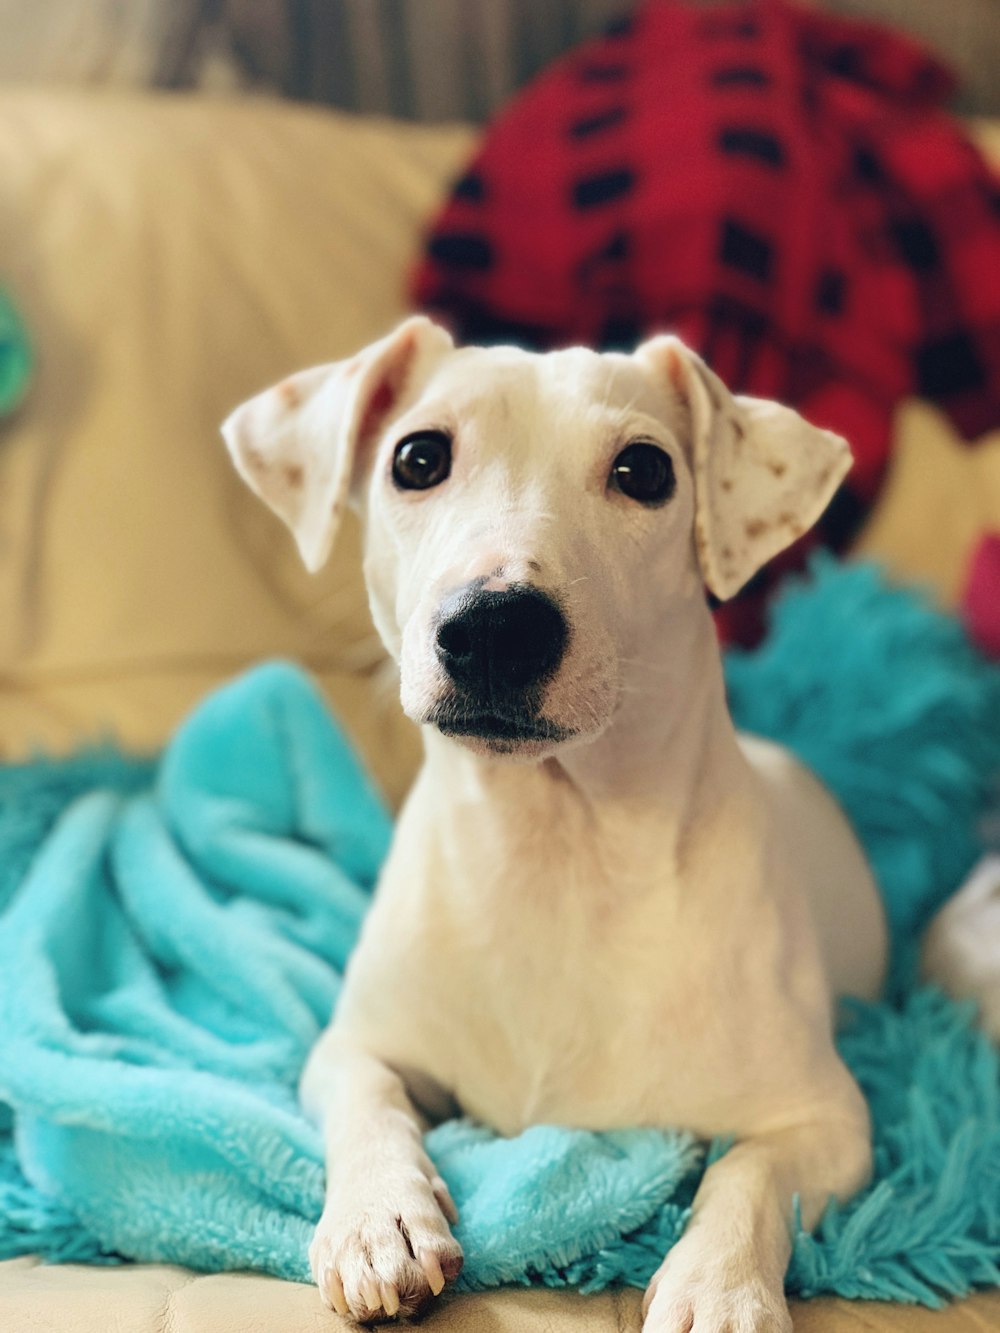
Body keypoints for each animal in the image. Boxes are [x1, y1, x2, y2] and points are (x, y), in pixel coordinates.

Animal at [221, 314, 901, 1333]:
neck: (555, 852)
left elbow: (751, 1170)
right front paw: (381, 1218)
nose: (496, 627)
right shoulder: (357, 1045)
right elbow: (369, 1100)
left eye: (646, 470)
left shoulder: (830, 1120)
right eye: (417, 457)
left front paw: (719, 1284)